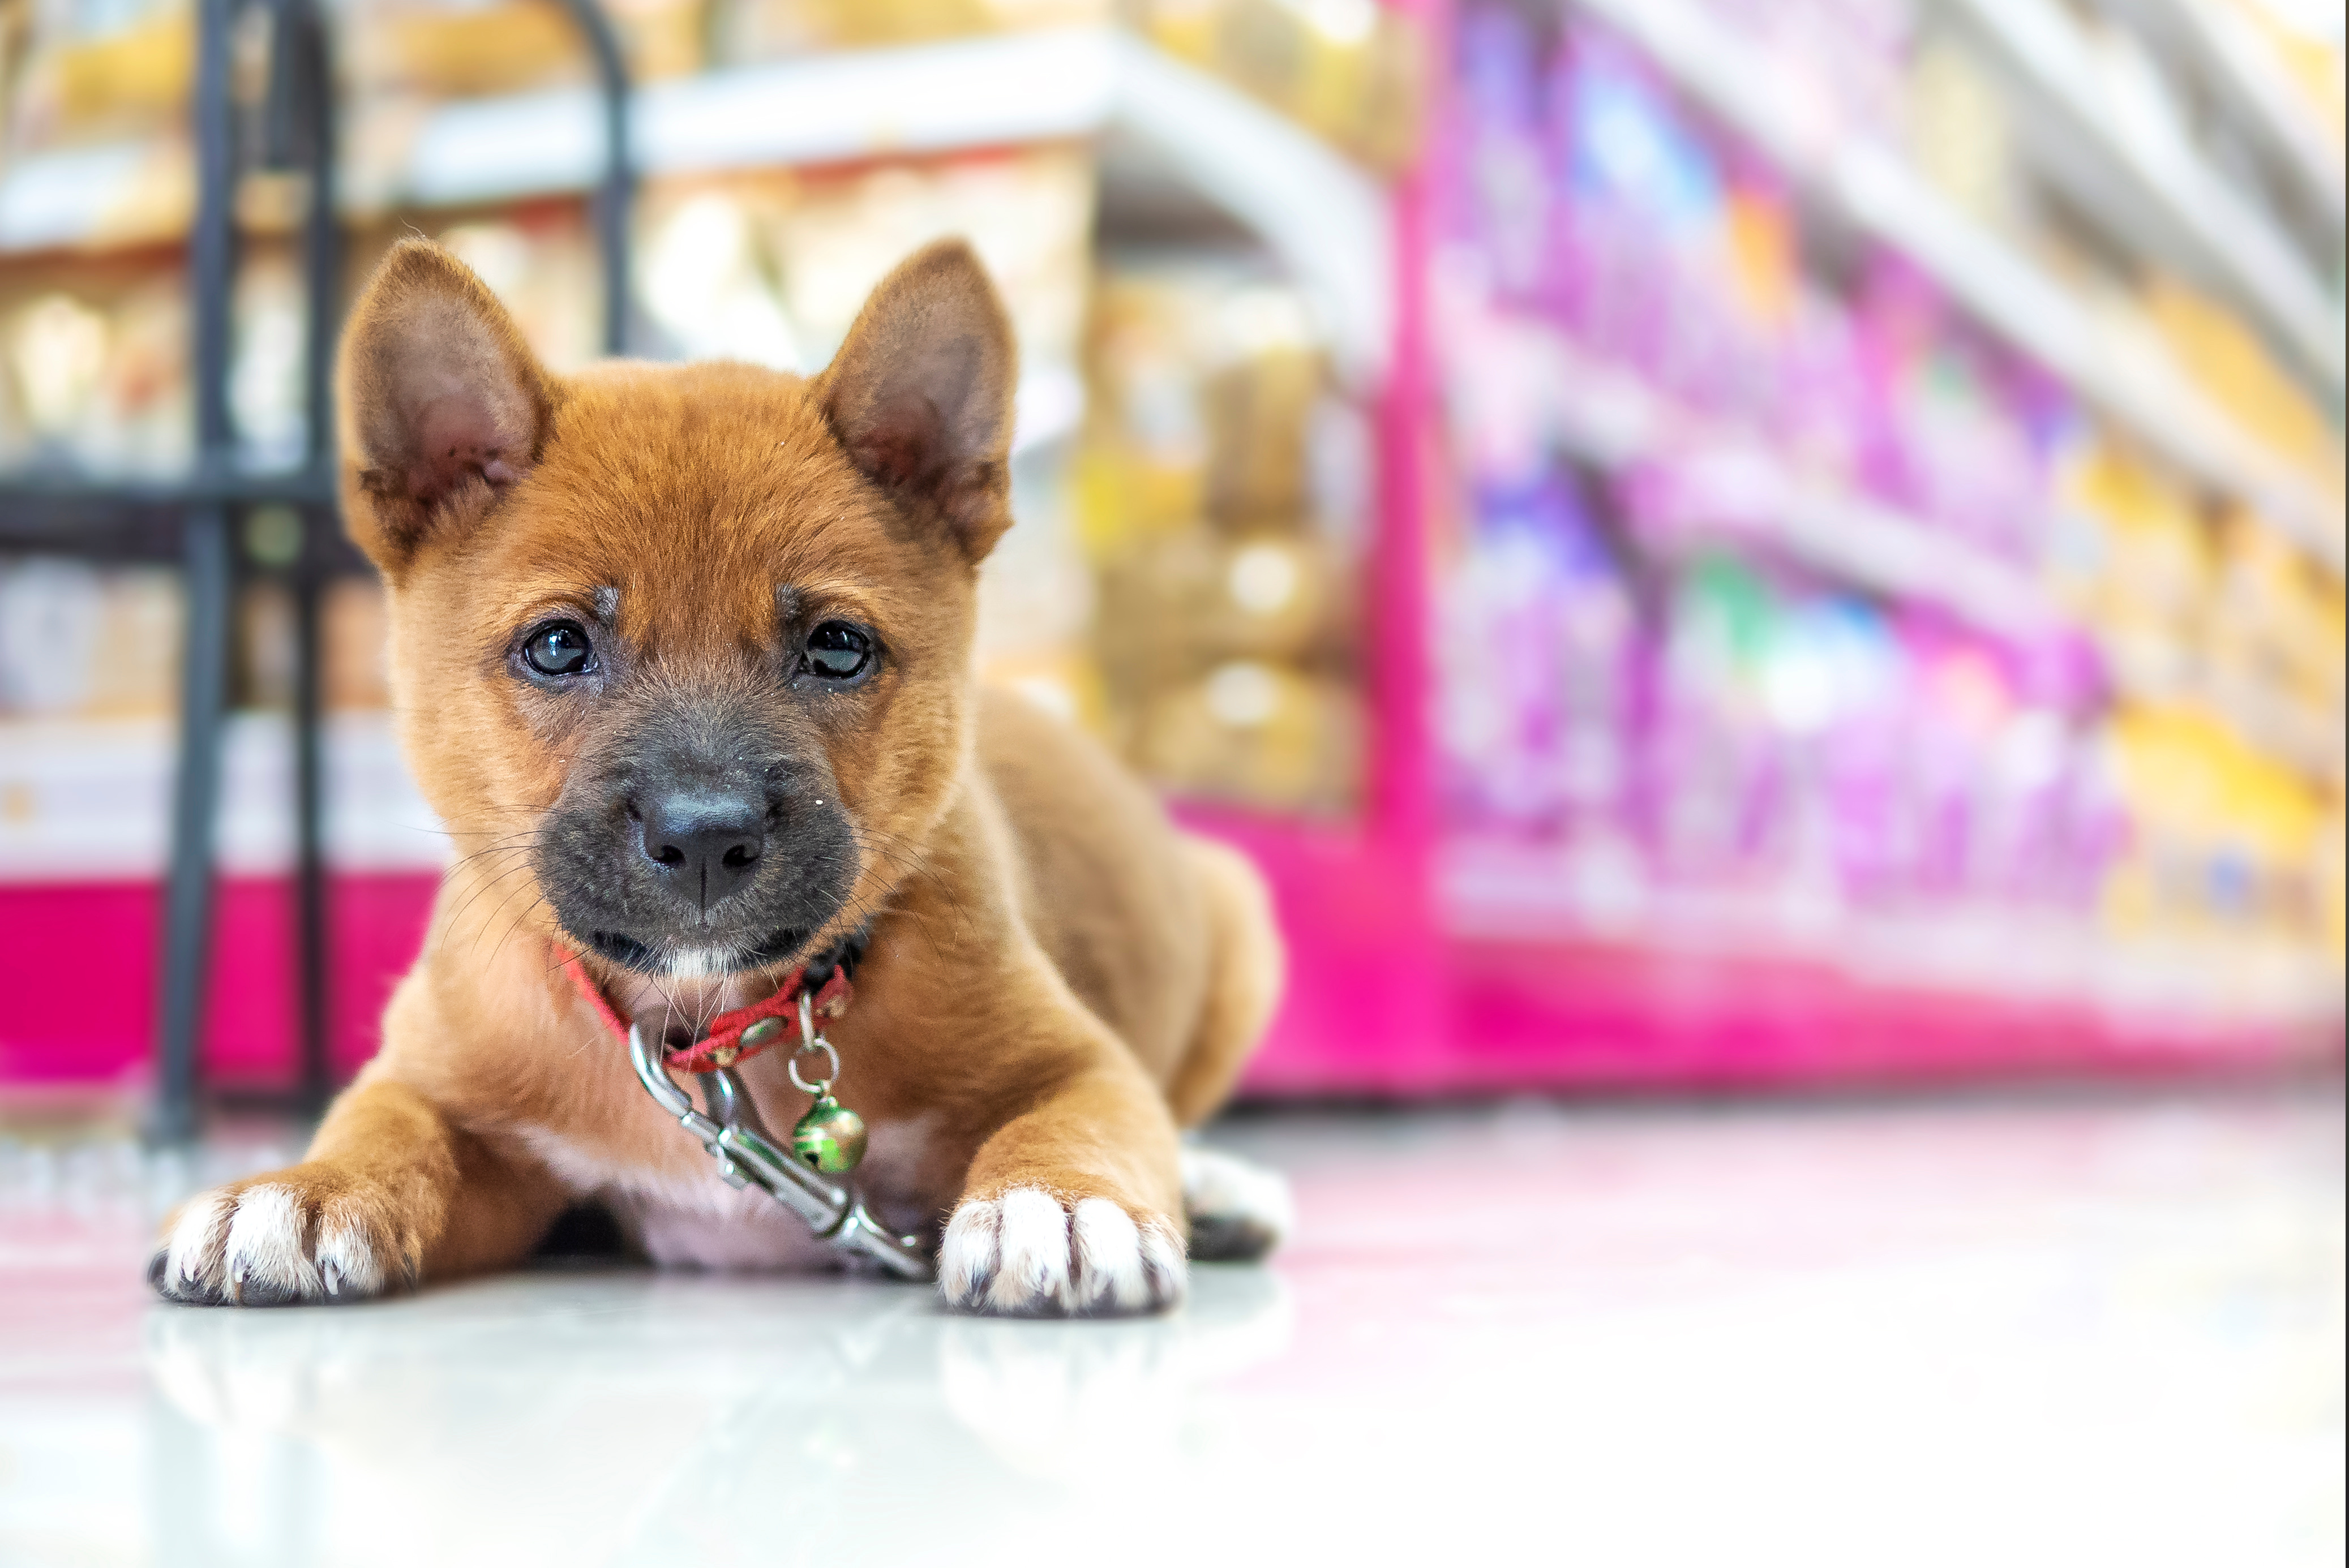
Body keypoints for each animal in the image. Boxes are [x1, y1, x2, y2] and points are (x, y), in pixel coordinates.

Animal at [147, 235, 1287, 1314]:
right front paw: (302, 1190)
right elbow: (386, 1123)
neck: (705, 1027)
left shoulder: (1080, 1062)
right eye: (556, 646)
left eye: (837, 648)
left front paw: (1057, 1205)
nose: (703, 837)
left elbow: (1082, 1122)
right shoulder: (449, 1094)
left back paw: (1213, 1185)